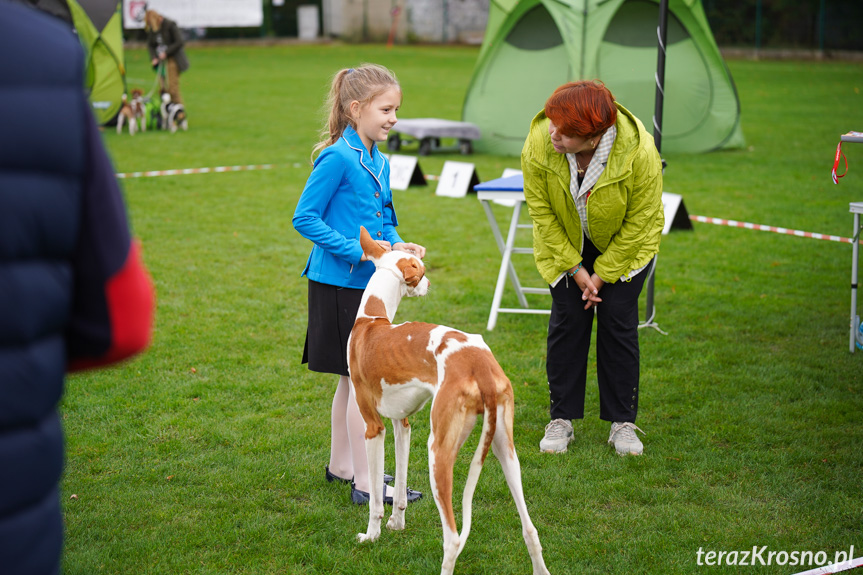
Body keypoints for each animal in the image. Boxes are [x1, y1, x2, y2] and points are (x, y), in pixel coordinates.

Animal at [348, 227, 552, 572]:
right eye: (421, 270)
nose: (430, 283)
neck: (371, 320)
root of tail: (479, 364)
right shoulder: (402, 424)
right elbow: (399, 488)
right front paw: (396, 524)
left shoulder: (374, 428)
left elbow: (375, 496)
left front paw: (372, 534)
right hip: (505, 448)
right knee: (530, 528)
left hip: (439, 451)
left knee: (454, 539)